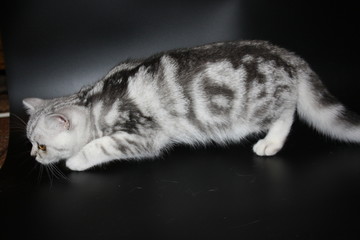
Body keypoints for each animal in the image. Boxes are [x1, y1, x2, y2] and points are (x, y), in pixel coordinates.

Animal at [23, 40, 360, 171]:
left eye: (41, 146)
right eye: (29, 143)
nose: (31, 157)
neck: (94, 100)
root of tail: (285, 53)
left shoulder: (143, 135)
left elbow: (100, 146)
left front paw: (75, 161)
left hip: (261, 106)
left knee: (288, 112)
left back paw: (271, 143)